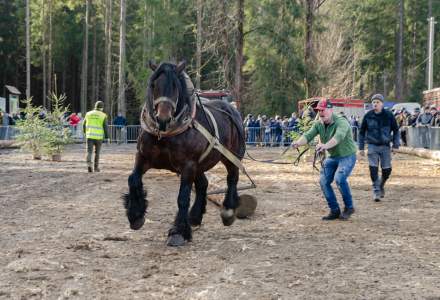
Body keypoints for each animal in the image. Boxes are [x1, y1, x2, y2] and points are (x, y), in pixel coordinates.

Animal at [124, 60, 246, 246]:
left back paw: (228, 211)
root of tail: (231, 109)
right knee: (203, 184)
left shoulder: (188, 165)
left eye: (176, 86)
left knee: (232, 178)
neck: (166, 134)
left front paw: (178, 232)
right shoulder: (143, 157)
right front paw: (135, 215)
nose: (163, 118)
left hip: (230, 156)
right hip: (200, 164)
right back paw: (194, 217)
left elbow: (182, 197)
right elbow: (133, 180)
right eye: (153, 85)